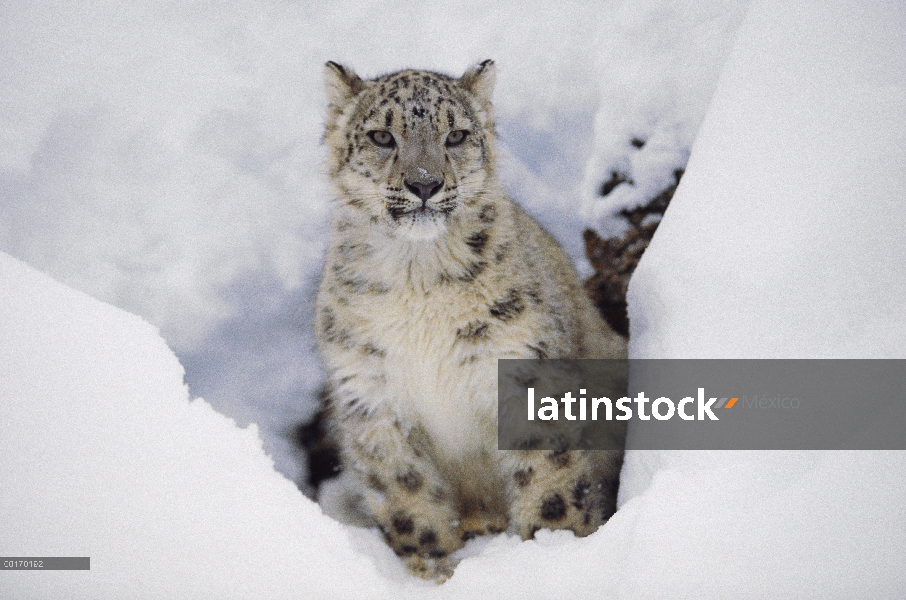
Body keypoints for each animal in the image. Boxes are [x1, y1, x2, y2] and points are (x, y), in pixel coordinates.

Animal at [314, 61, 624, 580]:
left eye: (456, 134)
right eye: (381, 136)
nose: (424, 184)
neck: (418, 282)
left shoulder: (522, 371)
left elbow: (550, 485)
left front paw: (551, 551)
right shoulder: (371, 395)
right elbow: (408, 495)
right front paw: (432, 569)